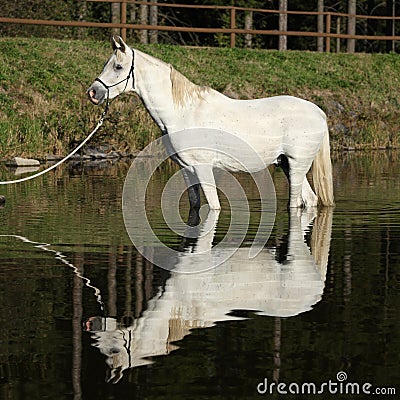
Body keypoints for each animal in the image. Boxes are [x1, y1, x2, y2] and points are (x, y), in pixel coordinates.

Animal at [87, 36, 334, 209]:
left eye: (118, 67)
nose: (93, 92)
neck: (183, 113)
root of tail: (319, 113)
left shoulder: (203, 167)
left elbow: (213, 207)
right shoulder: (186, 169)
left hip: (297, 165)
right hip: (285, 164)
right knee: (310, 200)